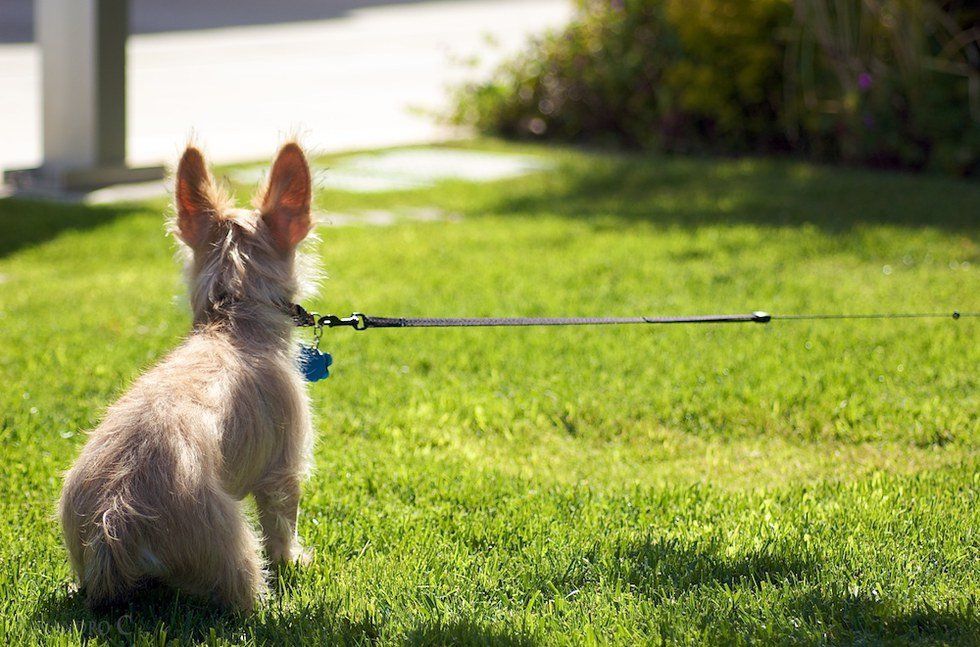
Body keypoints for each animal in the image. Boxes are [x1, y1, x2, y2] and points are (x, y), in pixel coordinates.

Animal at [57, 142, 316, 612]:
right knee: (245, 593)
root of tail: (113, 520)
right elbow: (283, 523)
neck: (231, 318)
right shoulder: (283, 467)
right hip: (233, 548)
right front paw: (294, 560)